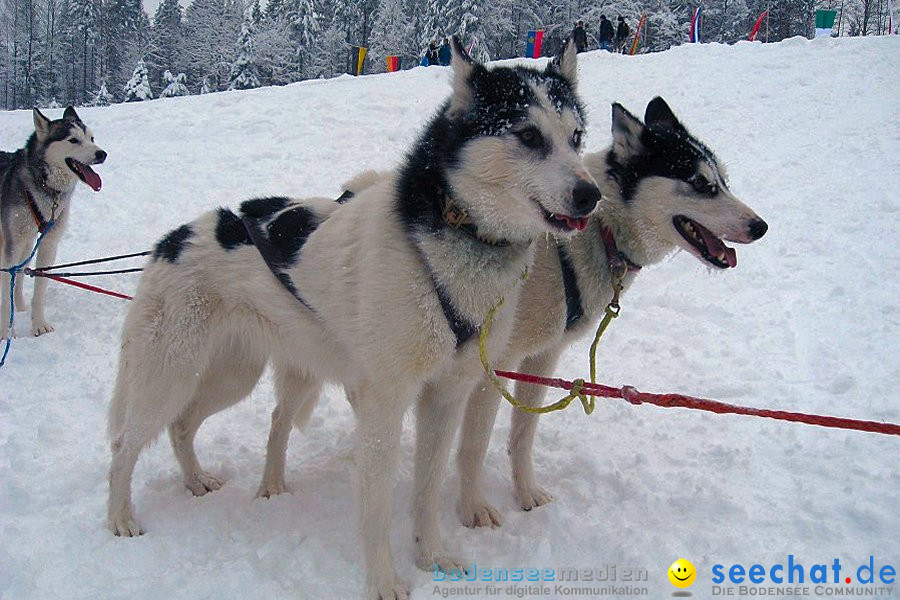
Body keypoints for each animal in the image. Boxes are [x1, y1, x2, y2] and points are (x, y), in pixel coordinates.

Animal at [1, 106, 107, 338]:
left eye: (91, 138)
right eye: (73, 140)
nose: (102, 154)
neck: (45, 188)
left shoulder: (48, 243)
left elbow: (39, 286)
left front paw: (39, 324)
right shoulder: (12, 246)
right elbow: (5, 289)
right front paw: (4, 332)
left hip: (27, 244)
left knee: (20, 274)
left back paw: (20, 306)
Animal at [103, 38, 596, 600]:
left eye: (576, 136)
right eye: (529, 135)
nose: (591, 194)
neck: (442, 246)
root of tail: (172, 238)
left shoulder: (446, 396)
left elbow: (427, 487)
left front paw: (432, 555)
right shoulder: (384, 400)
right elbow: (377, 503)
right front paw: (384, 581)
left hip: (232, 376)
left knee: (183, 425)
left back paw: (195, 481)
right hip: (170, 373)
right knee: (125, 444)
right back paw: (120, 517)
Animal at [458, 97, 768, 524]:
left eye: (723, 180)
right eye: (701, 184)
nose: (761, 226)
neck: (595, 232)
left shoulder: (542, 358)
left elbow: (523, 433)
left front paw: (526, 493)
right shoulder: (495, 363)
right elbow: (474, 444)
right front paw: (472, 509)